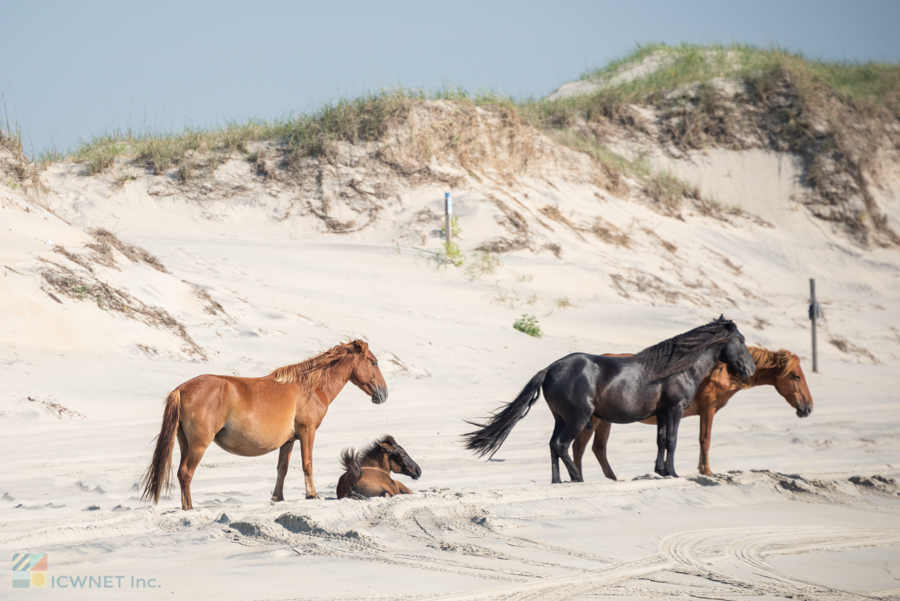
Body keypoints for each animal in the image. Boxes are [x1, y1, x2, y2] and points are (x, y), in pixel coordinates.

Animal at [464, 316, 752, 480]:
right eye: (741, 339)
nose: (750, 369)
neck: (679, 367)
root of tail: (550, 369)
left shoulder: (662, 413)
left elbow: (660, 441)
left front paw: (660, 472)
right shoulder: (674, 410)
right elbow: (671, 441)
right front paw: (672, 473)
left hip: (561, 418)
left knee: (553, 446)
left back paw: (558, 481)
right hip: (578, 419)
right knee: (561, 445)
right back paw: (577, 478)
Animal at [576, 346, 816, 478]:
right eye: (796, 376)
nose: (808, 408)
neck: (720, 371)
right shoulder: (708, 409)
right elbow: (705, 440)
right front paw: (707, 471)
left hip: (604, 421)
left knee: (598, 449)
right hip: (594, 420)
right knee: (579, 447)